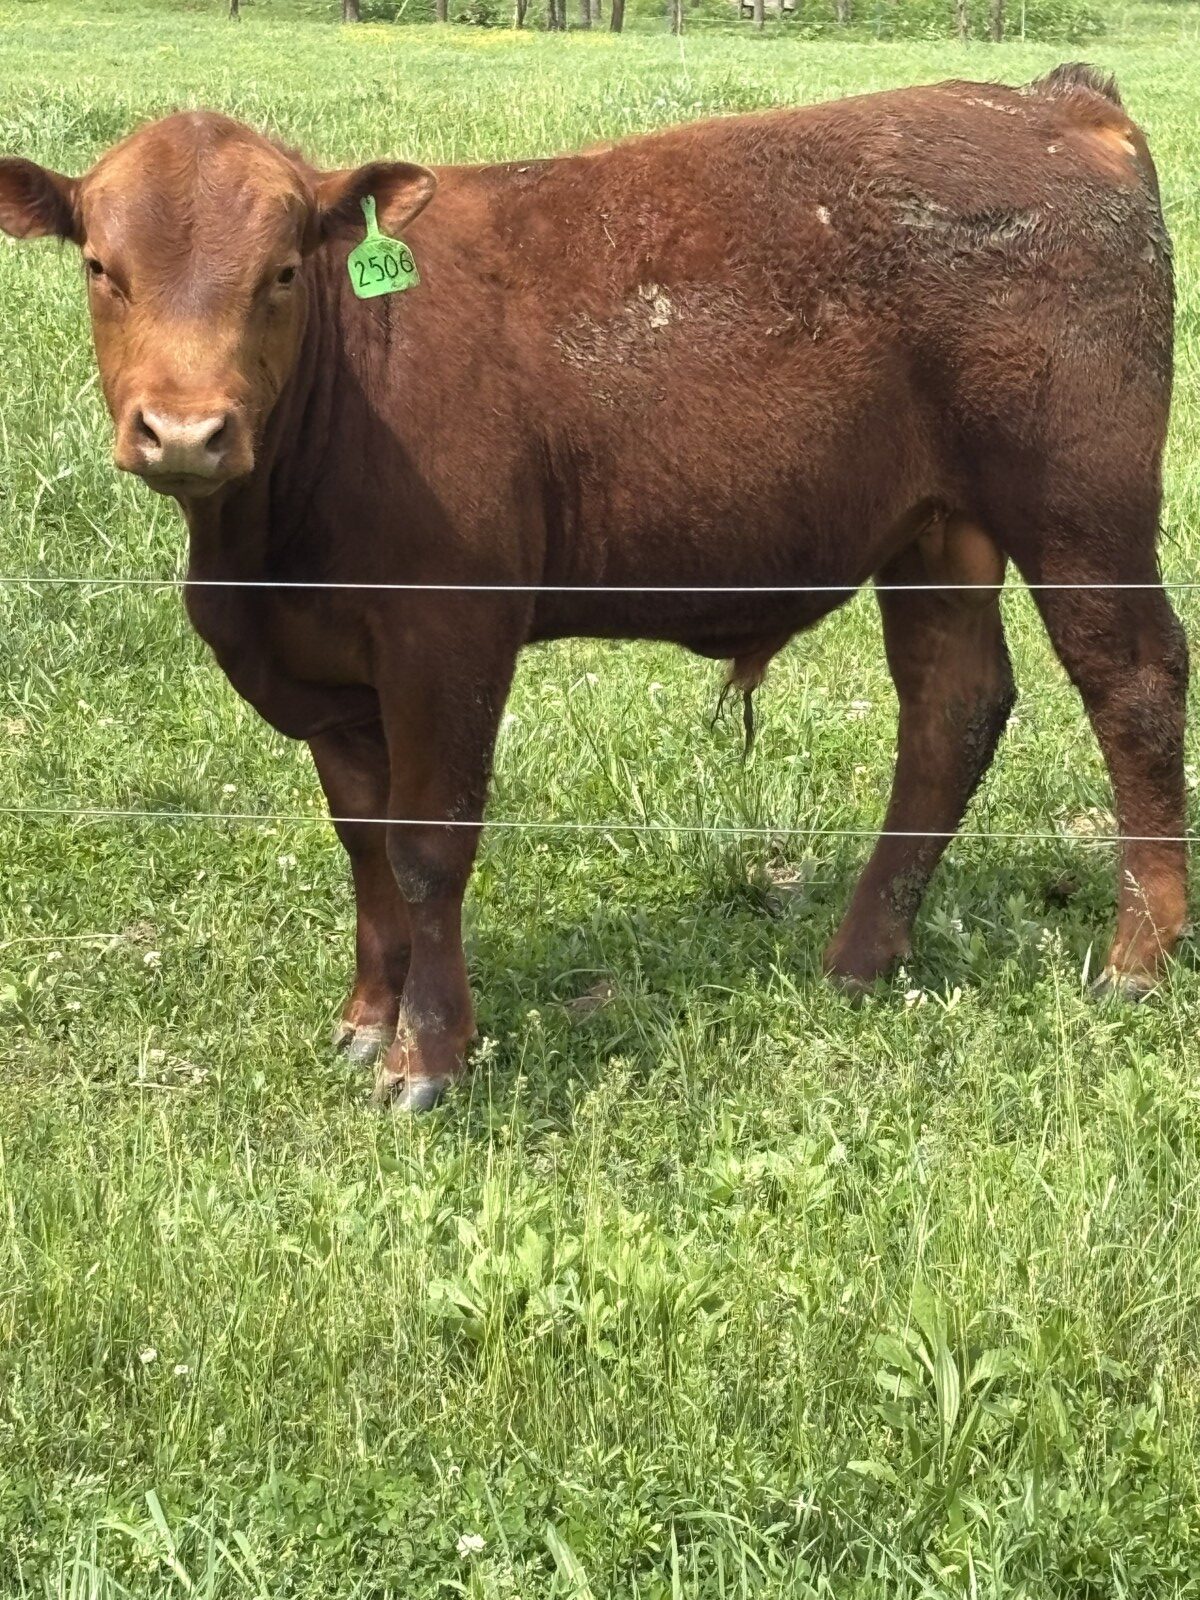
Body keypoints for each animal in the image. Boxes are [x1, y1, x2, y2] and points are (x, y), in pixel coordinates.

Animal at [0, 64, 1186, 1109]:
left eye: (282, 272)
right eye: (100, 267)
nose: (185, 430)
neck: (261, 551)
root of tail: (1056, 104)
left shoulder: (449, 635)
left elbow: (427, 847)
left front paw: (427, 1057)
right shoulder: (329, 677)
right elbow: (366, 844)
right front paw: (368, 1017)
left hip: (1080, 501)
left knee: (1133, 683)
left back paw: (1139, 956)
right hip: (938, 527)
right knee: (952, 708)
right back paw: (860, 956)